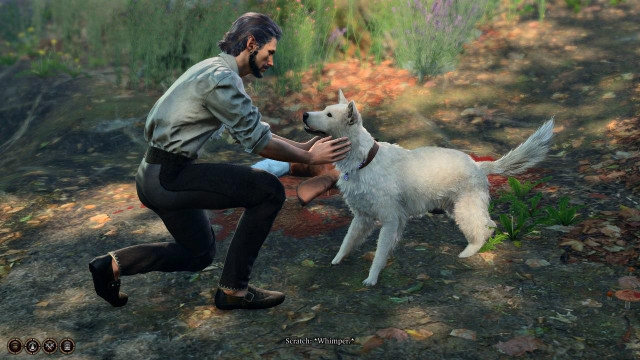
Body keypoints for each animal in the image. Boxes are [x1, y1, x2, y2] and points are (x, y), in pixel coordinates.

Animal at [302, 90, 552, 286]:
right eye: (324, 109)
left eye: (328, 115)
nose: (304, 115)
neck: (364, 161)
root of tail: (479, 165)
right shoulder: (363, 217)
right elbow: (348, 240)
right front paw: (337, 259)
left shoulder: (390, 219)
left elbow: (380, 252)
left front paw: (372, 278)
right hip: (458, 207)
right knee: (487, 224)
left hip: (465, 208)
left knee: (484, 228)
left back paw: (469, 252)